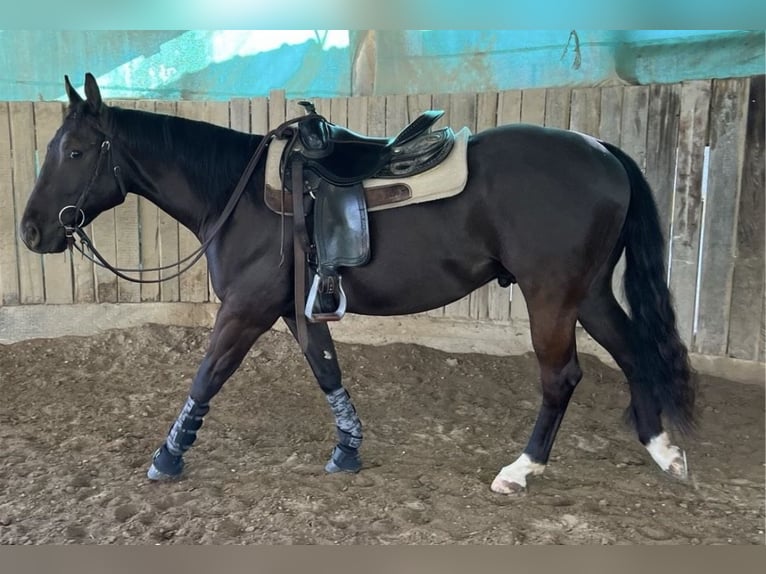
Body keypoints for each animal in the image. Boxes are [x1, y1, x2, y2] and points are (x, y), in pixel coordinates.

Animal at [19, 73, 704, 496]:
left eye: (75, 151)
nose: (29, 231)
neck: (241, 194)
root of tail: (601, 148)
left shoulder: (245, 309)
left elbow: (207, 375)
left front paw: (168, 455)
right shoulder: (296, 309)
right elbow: (327, 371)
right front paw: (348, 449)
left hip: (552, 295)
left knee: (562, 377)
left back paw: (522, 469)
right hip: (588, 292)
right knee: (632, 352)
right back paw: (663, 450)